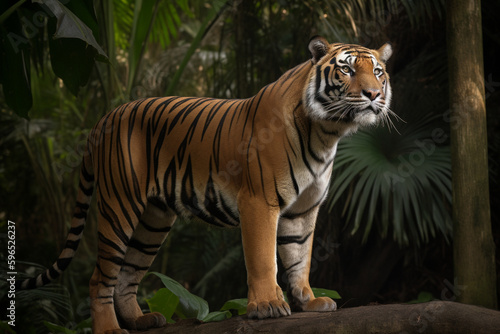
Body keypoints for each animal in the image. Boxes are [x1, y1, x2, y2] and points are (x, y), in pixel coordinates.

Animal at [18, 35, 390, 332]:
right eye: (346, 70)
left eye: (378, 72)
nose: (373, 93)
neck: (327, 131)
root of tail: (104, 118)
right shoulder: (259, 201)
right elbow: (263, 258)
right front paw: (268, 306)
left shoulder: (303, 209)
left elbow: (299, 258)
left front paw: (309, 301)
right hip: (119, 206)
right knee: (101, 277)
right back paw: (110, 329)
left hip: (152, 221)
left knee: (126, 275)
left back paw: (142, 320)